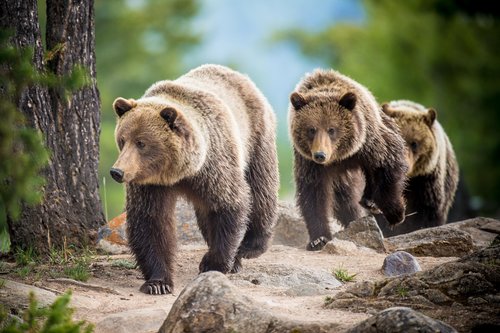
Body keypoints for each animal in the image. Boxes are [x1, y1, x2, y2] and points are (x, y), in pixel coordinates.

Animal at [110, 64, 280, 294]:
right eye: (122, 139)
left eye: (141, 143)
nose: (117, 172)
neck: (180, 173)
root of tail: (237, 75)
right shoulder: (150, 184)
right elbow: (150, 222)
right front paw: (158, 282)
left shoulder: (213, 165)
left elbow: (229, 204)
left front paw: (214, 263)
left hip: (256, 136)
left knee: (260, 187)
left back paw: (251, 245)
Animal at [290, 68, 406, 249]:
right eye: (311, 129)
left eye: (332, 129)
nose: (320, 155)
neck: (340, 156)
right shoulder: (309, 163)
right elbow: (313, 195)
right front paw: (319, 239)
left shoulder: (368, 142)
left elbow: (387, 161)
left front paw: (395, 213)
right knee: (345, 199)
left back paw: (370, 202)